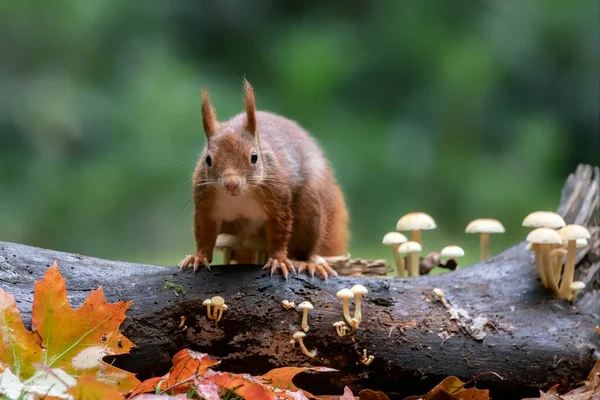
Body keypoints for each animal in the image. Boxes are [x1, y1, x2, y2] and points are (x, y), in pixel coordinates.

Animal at [177, 78, 346, 278]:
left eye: (254, 157)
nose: (231, 184)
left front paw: (278, 260)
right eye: (208, 159)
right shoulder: (206, 206)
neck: (239, 196)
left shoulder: (278, 200)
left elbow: (279, 234)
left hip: (310, 211)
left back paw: (307, 263)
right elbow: (204, 234)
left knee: (303, 249)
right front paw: (199, 257)